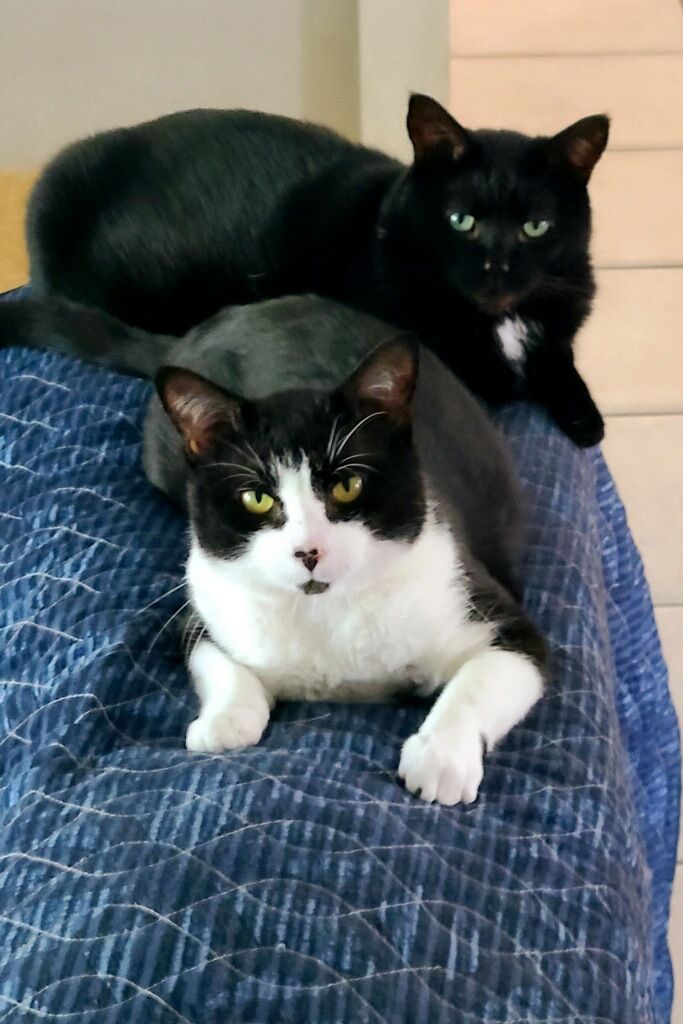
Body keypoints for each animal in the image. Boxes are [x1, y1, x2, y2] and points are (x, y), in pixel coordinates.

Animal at [0, 292, 544, 802]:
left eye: (347, 486)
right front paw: (225, 722)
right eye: (257, 498)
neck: (325, 616)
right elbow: (217, 661)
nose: (309, 551)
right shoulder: (202, 604)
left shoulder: (480, 599)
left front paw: (440, 760)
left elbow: (491, 674)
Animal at [25, 95, 610, 444]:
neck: (500, 322)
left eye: (536, 227)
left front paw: (584, 415)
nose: (496, 270)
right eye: (460, 220)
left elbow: (560, 364)